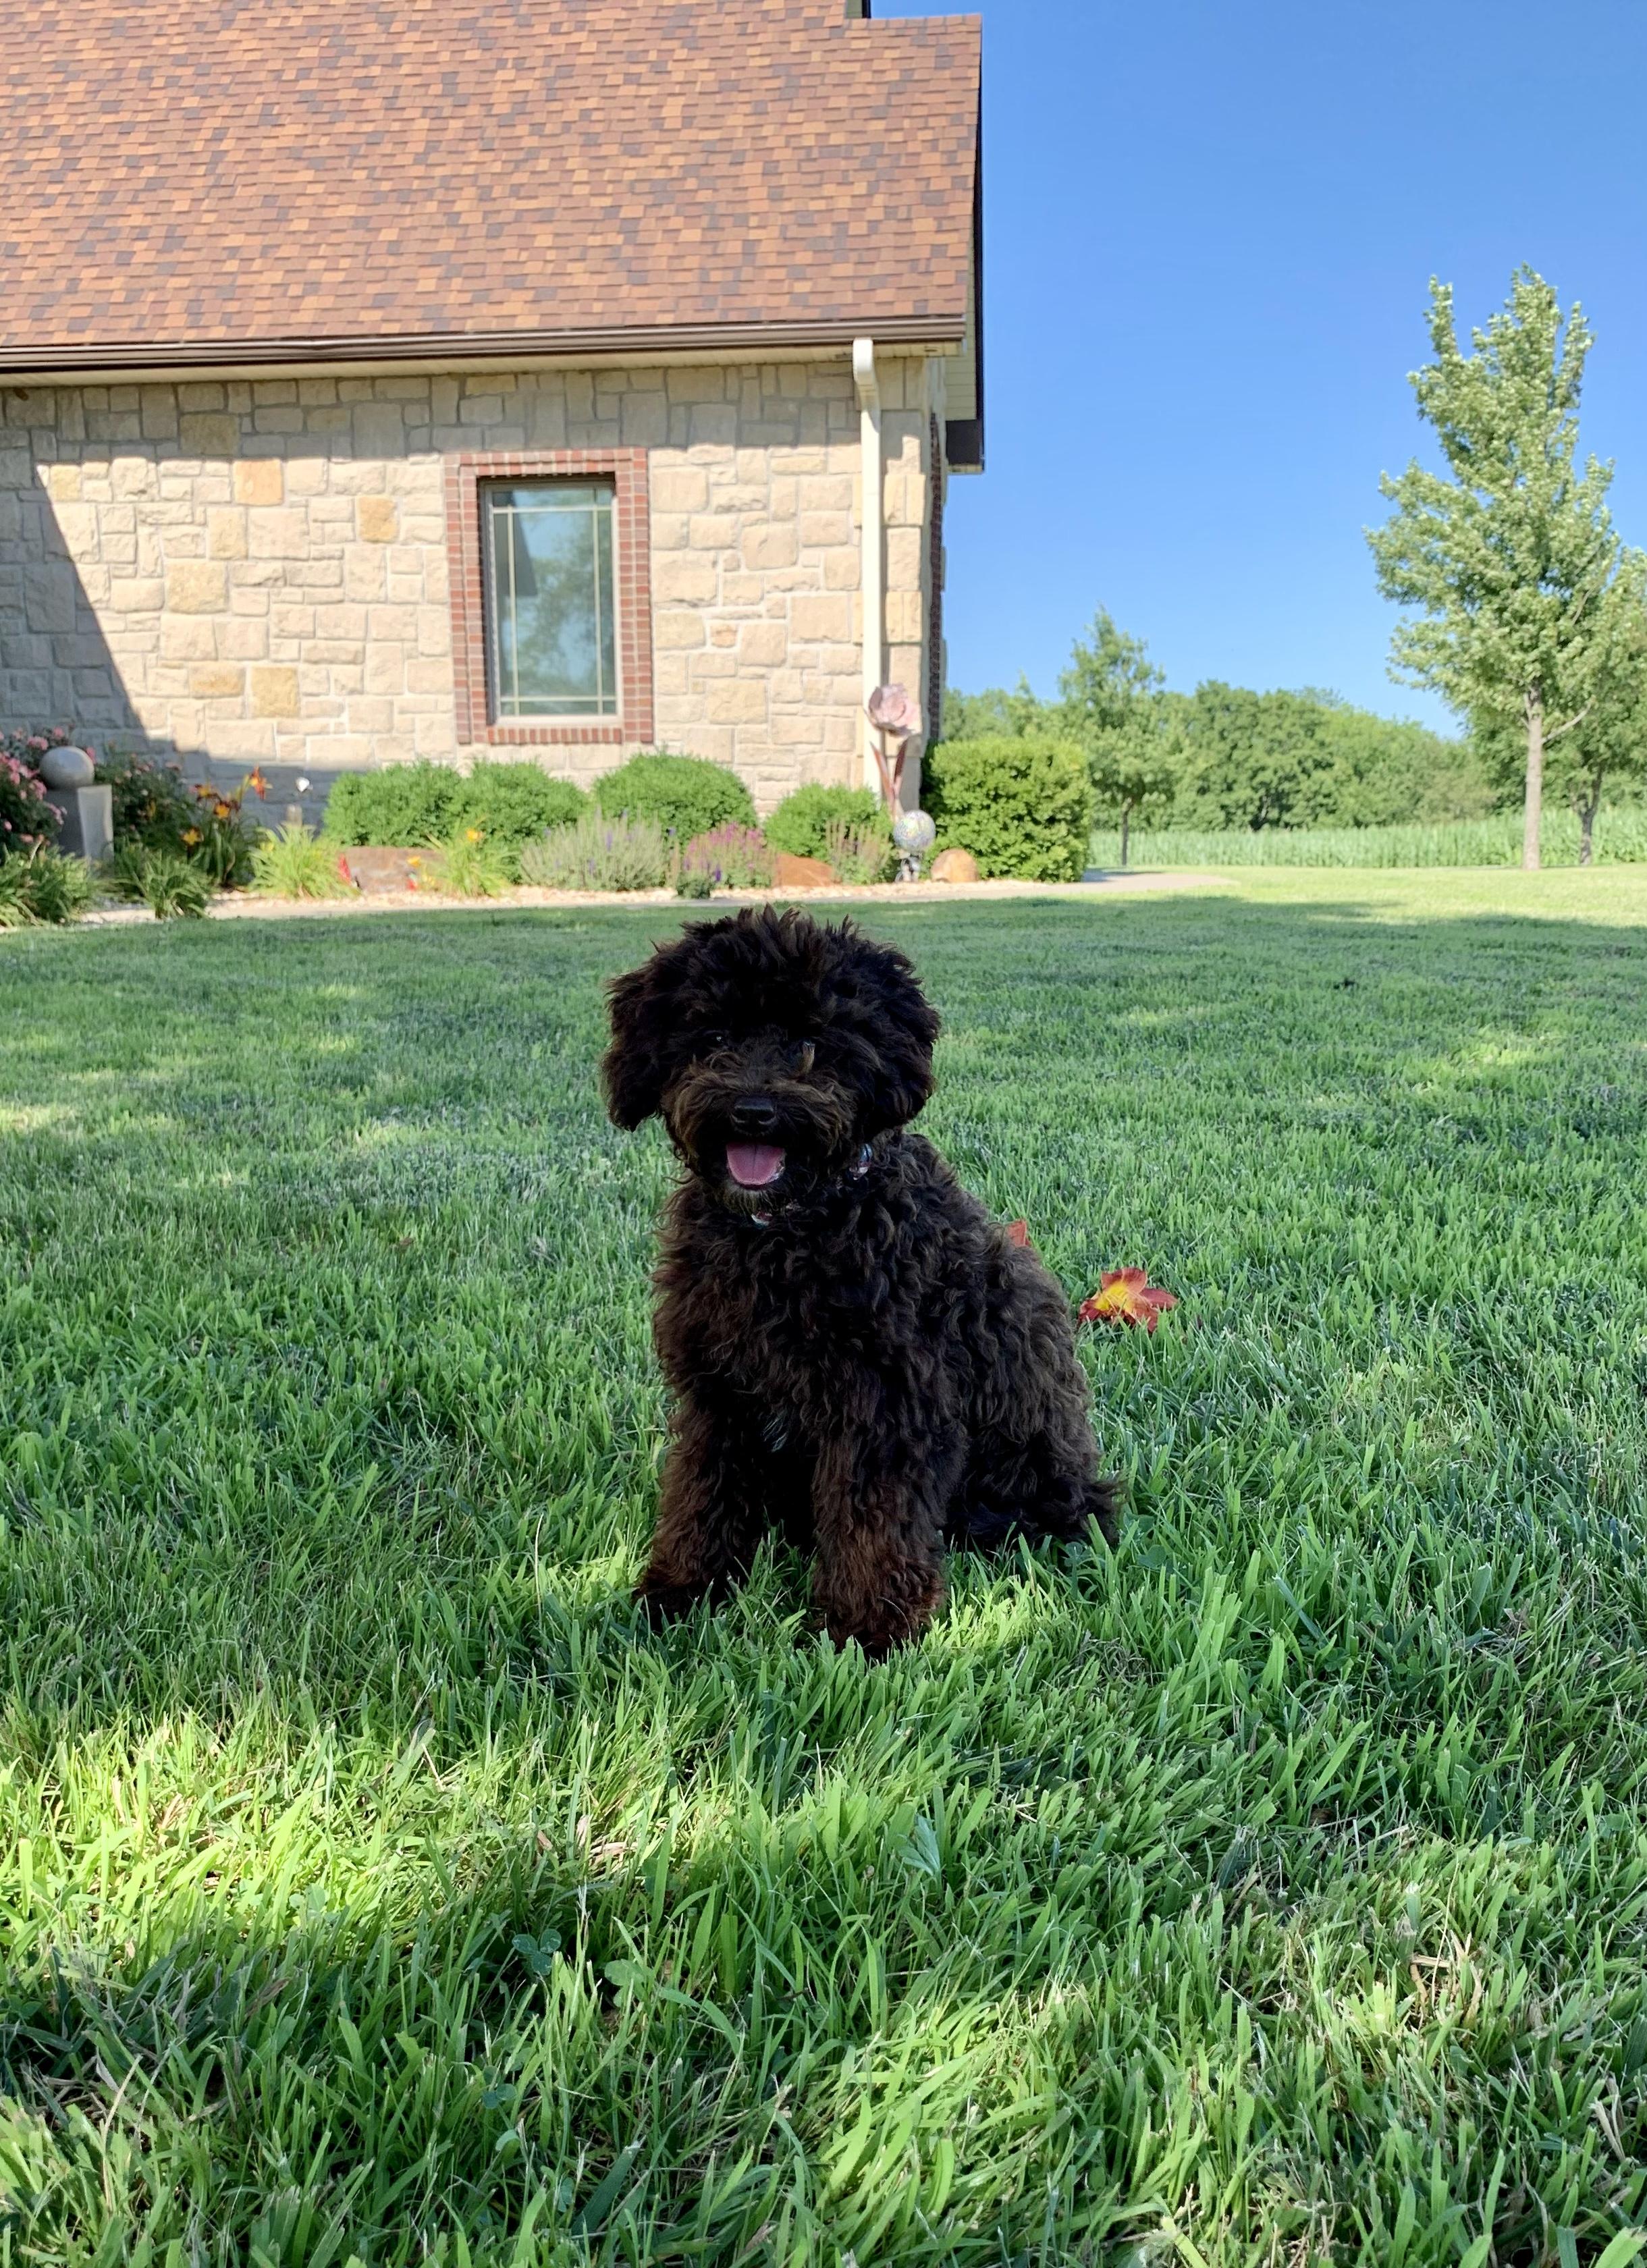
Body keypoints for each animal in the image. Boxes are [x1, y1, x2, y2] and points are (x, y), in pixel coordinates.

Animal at [601, 906, 1118, 1657]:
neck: (788, 1231)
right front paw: (682, 1590)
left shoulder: (888, 1406)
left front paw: (861, 1630)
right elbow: (702, 1495)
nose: (753, 1111)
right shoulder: (718, 1396)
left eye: (813, 1041)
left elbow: (873, 1524)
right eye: (714, 1035)